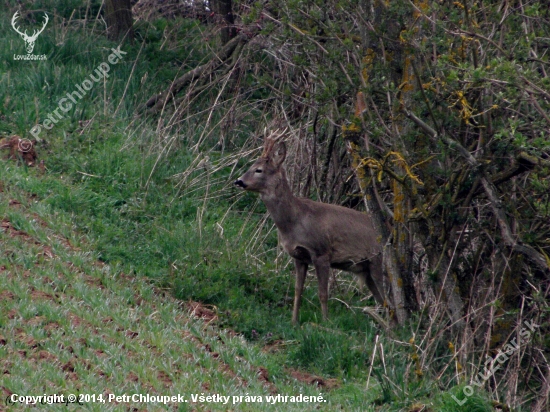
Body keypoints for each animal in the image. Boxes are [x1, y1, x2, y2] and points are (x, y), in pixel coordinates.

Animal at [235, 134, 386, 324]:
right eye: (251, 166)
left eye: (259, 170)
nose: (239, 181)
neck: (294, 222)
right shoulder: (299, 256)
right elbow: (298, 290)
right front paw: (294, 321)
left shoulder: (322, 252)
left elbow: (323, 293)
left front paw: (325, 323)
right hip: (366, 268)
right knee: (382, 299)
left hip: (377, 260)